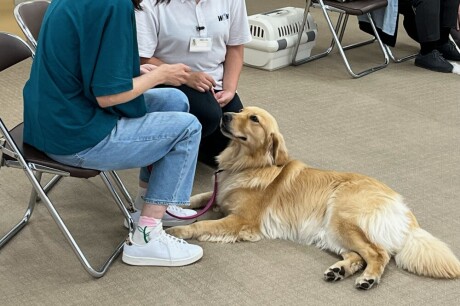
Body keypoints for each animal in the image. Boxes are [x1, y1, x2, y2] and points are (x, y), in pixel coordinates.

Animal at [168, 107, 460, 290]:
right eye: (240, 111)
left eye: (253, 118)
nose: (226, 114)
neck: (247, 165)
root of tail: (402, 206)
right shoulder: (219, 196)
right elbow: (196, 198)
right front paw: (173, 209)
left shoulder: (242, 220)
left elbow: (203, 224)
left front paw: (178, 231)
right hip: (331, 231)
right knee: (357, 255)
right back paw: (339, 270)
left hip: (341, 218)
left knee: (378, 254)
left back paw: (368, 279)